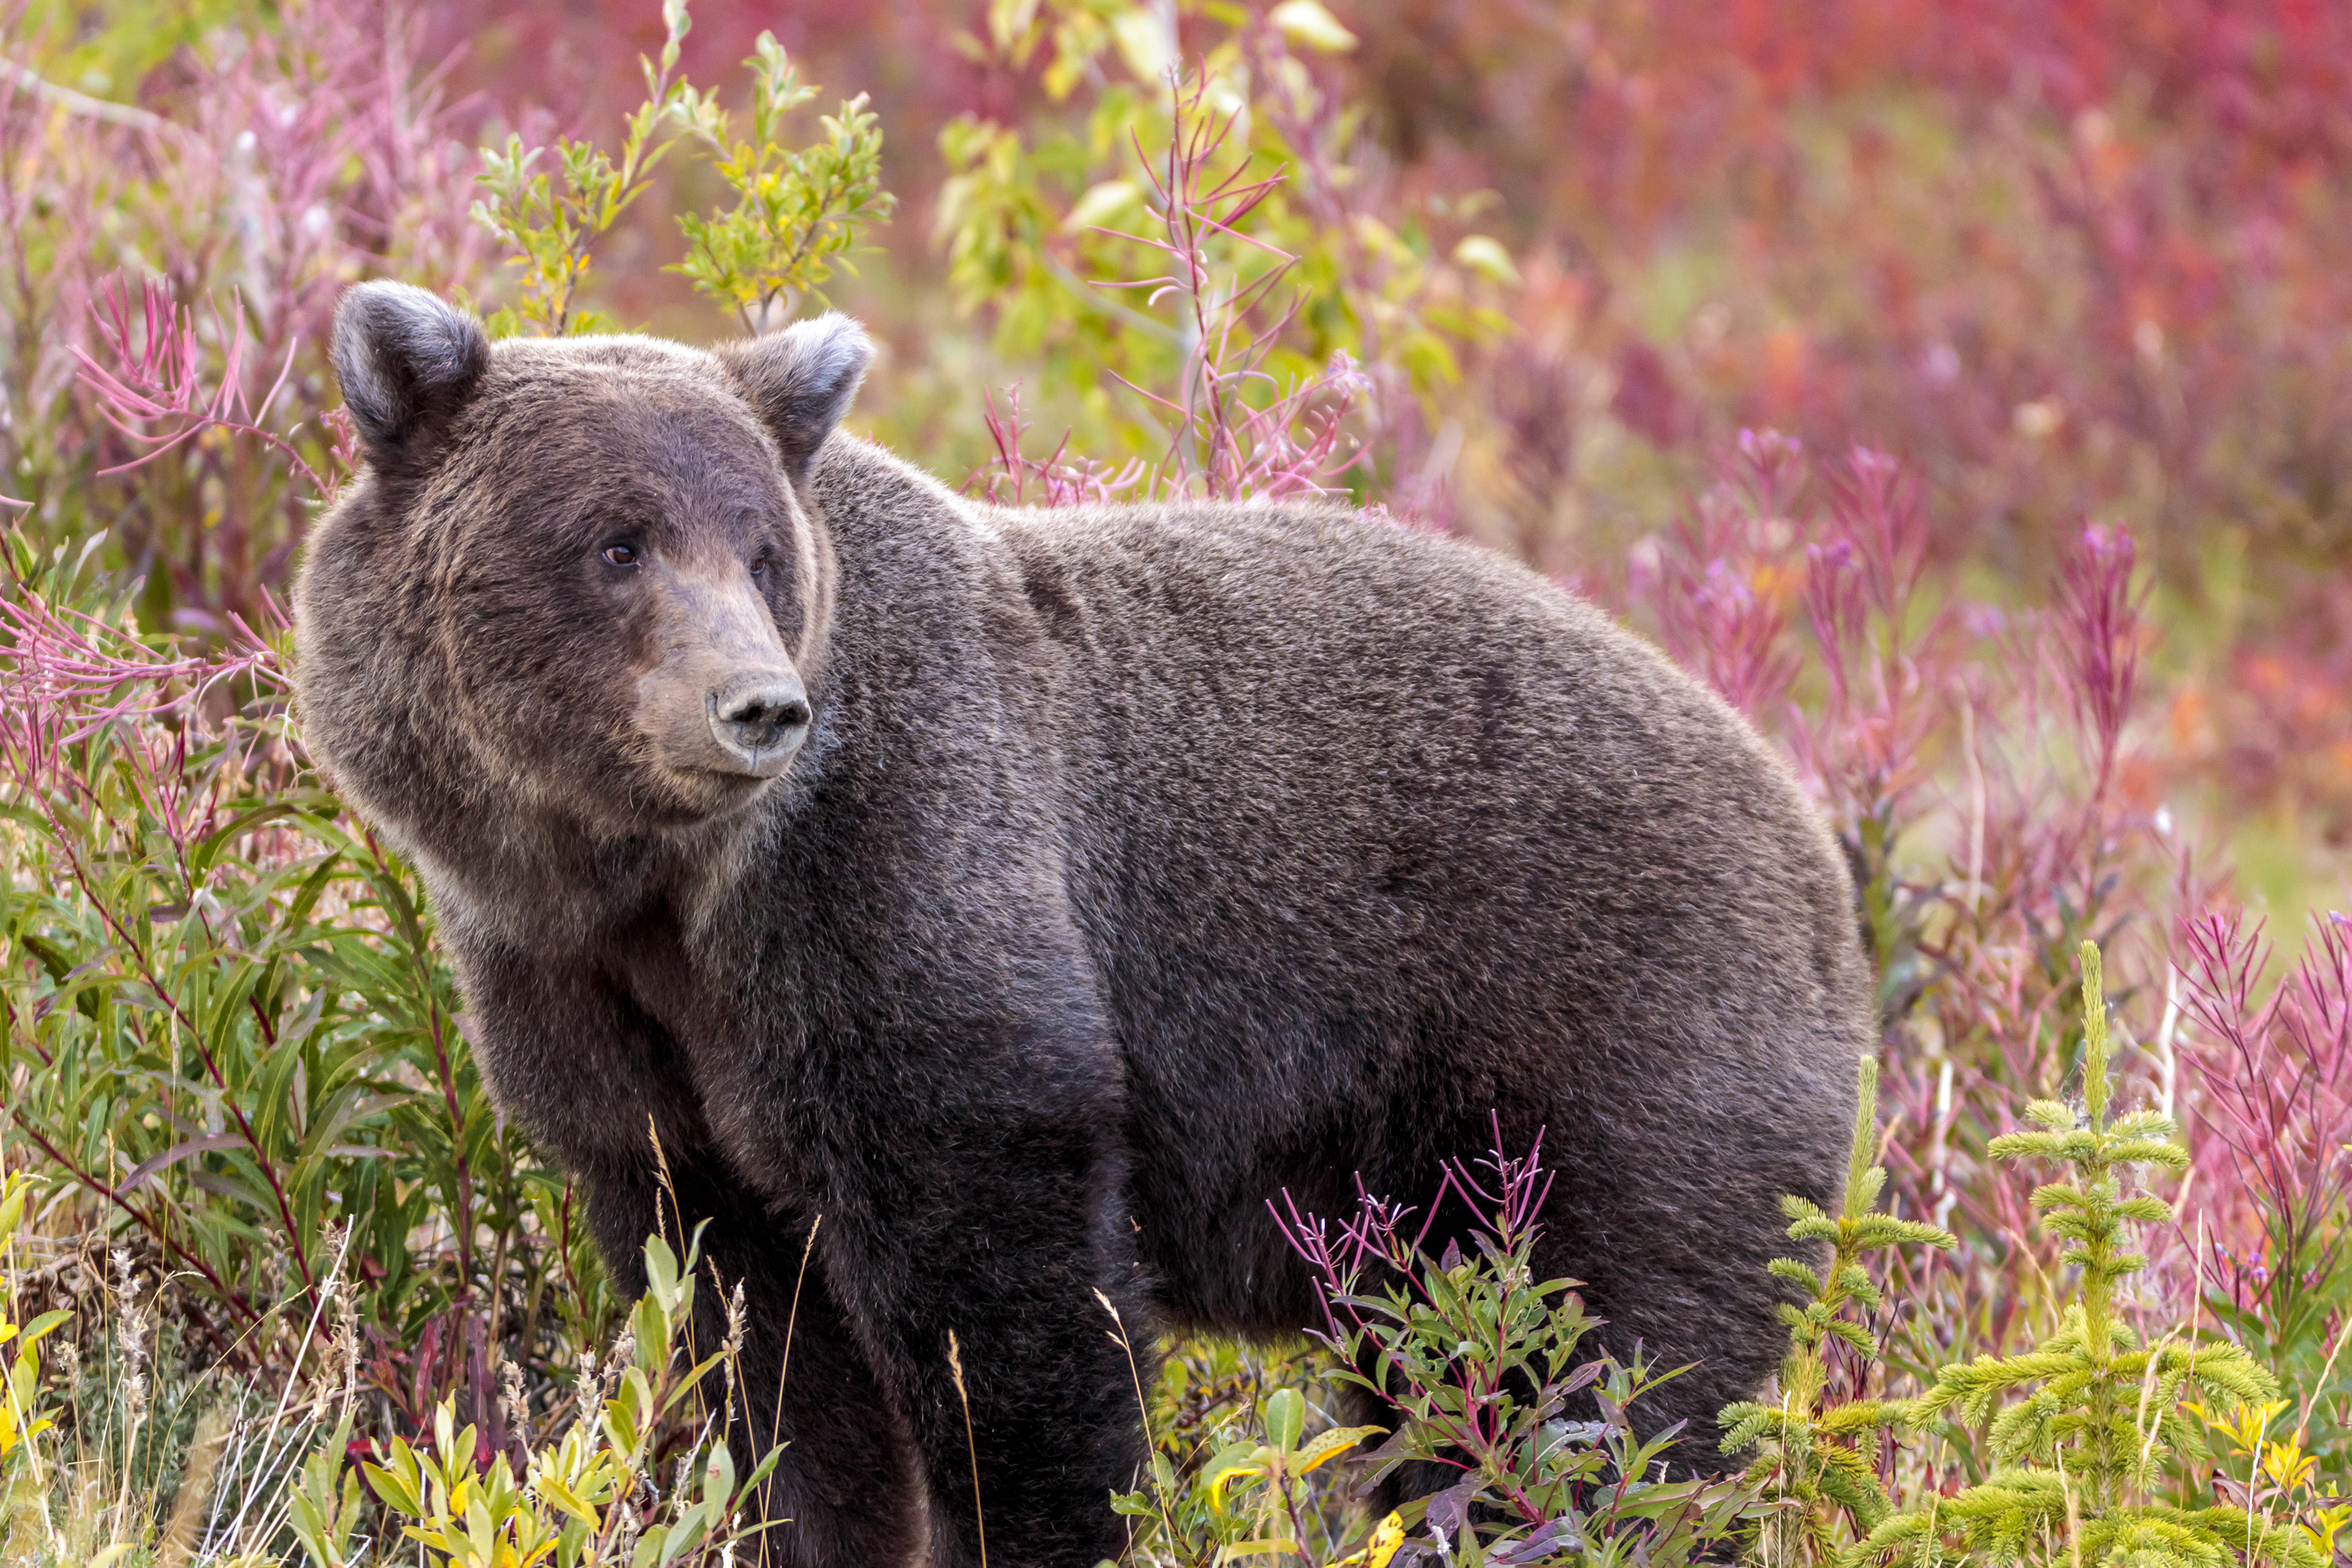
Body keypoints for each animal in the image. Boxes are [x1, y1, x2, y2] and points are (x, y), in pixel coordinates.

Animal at [294, 280, 1870, 1568]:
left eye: (755, 550)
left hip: (1602, 1056)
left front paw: (1018, 1524)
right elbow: (751, 1356)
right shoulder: (602, 1029)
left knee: (1608, 1383)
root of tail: (1814, 851)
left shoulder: (899, 880)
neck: (659, 888)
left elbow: (1008, 1312)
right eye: (618, 543)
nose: (757, 707)